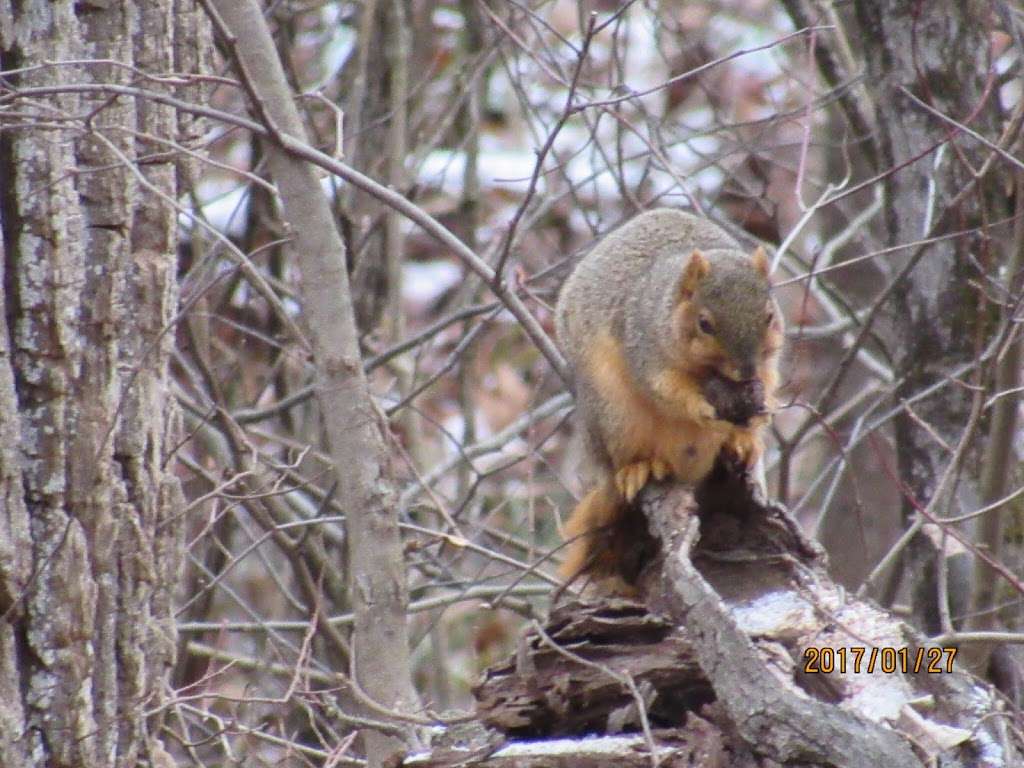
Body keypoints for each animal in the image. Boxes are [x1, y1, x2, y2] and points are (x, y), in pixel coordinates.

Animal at [552, 207, 782, 593]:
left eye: (769, 316)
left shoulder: (768, 363)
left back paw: (740, 442)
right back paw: (641, 467)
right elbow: (668, 390)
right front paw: (702, 409)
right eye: (704, 323)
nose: (745, 371)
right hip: (613, 416)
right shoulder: (645, 351)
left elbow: (769, 380)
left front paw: (759, 419)